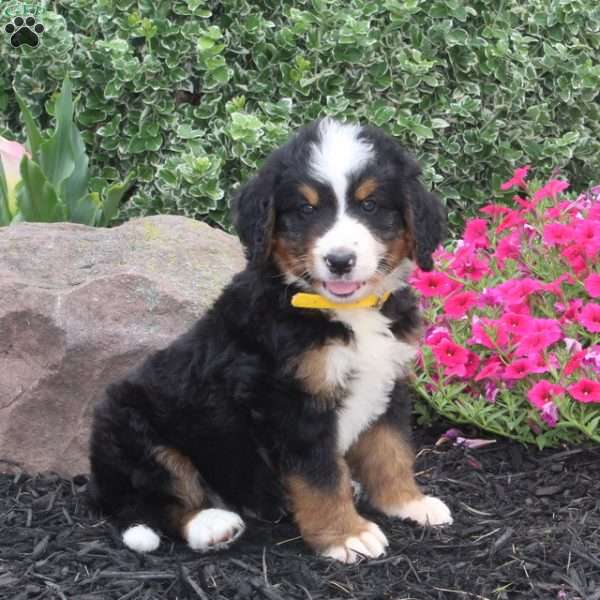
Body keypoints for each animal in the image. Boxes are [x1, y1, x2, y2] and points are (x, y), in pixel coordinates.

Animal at [89, 117, 452, 564]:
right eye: (306, 209)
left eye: (369, 206)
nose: (339, 261)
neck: (339, 308)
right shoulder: (291, 402)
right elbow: (319, 475)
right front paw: (346, 535)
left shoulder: (389, 381)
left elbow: (392, 451)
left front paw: (408, 503)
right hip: (133, 428)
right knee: (155, 500)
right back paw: (211, 524)